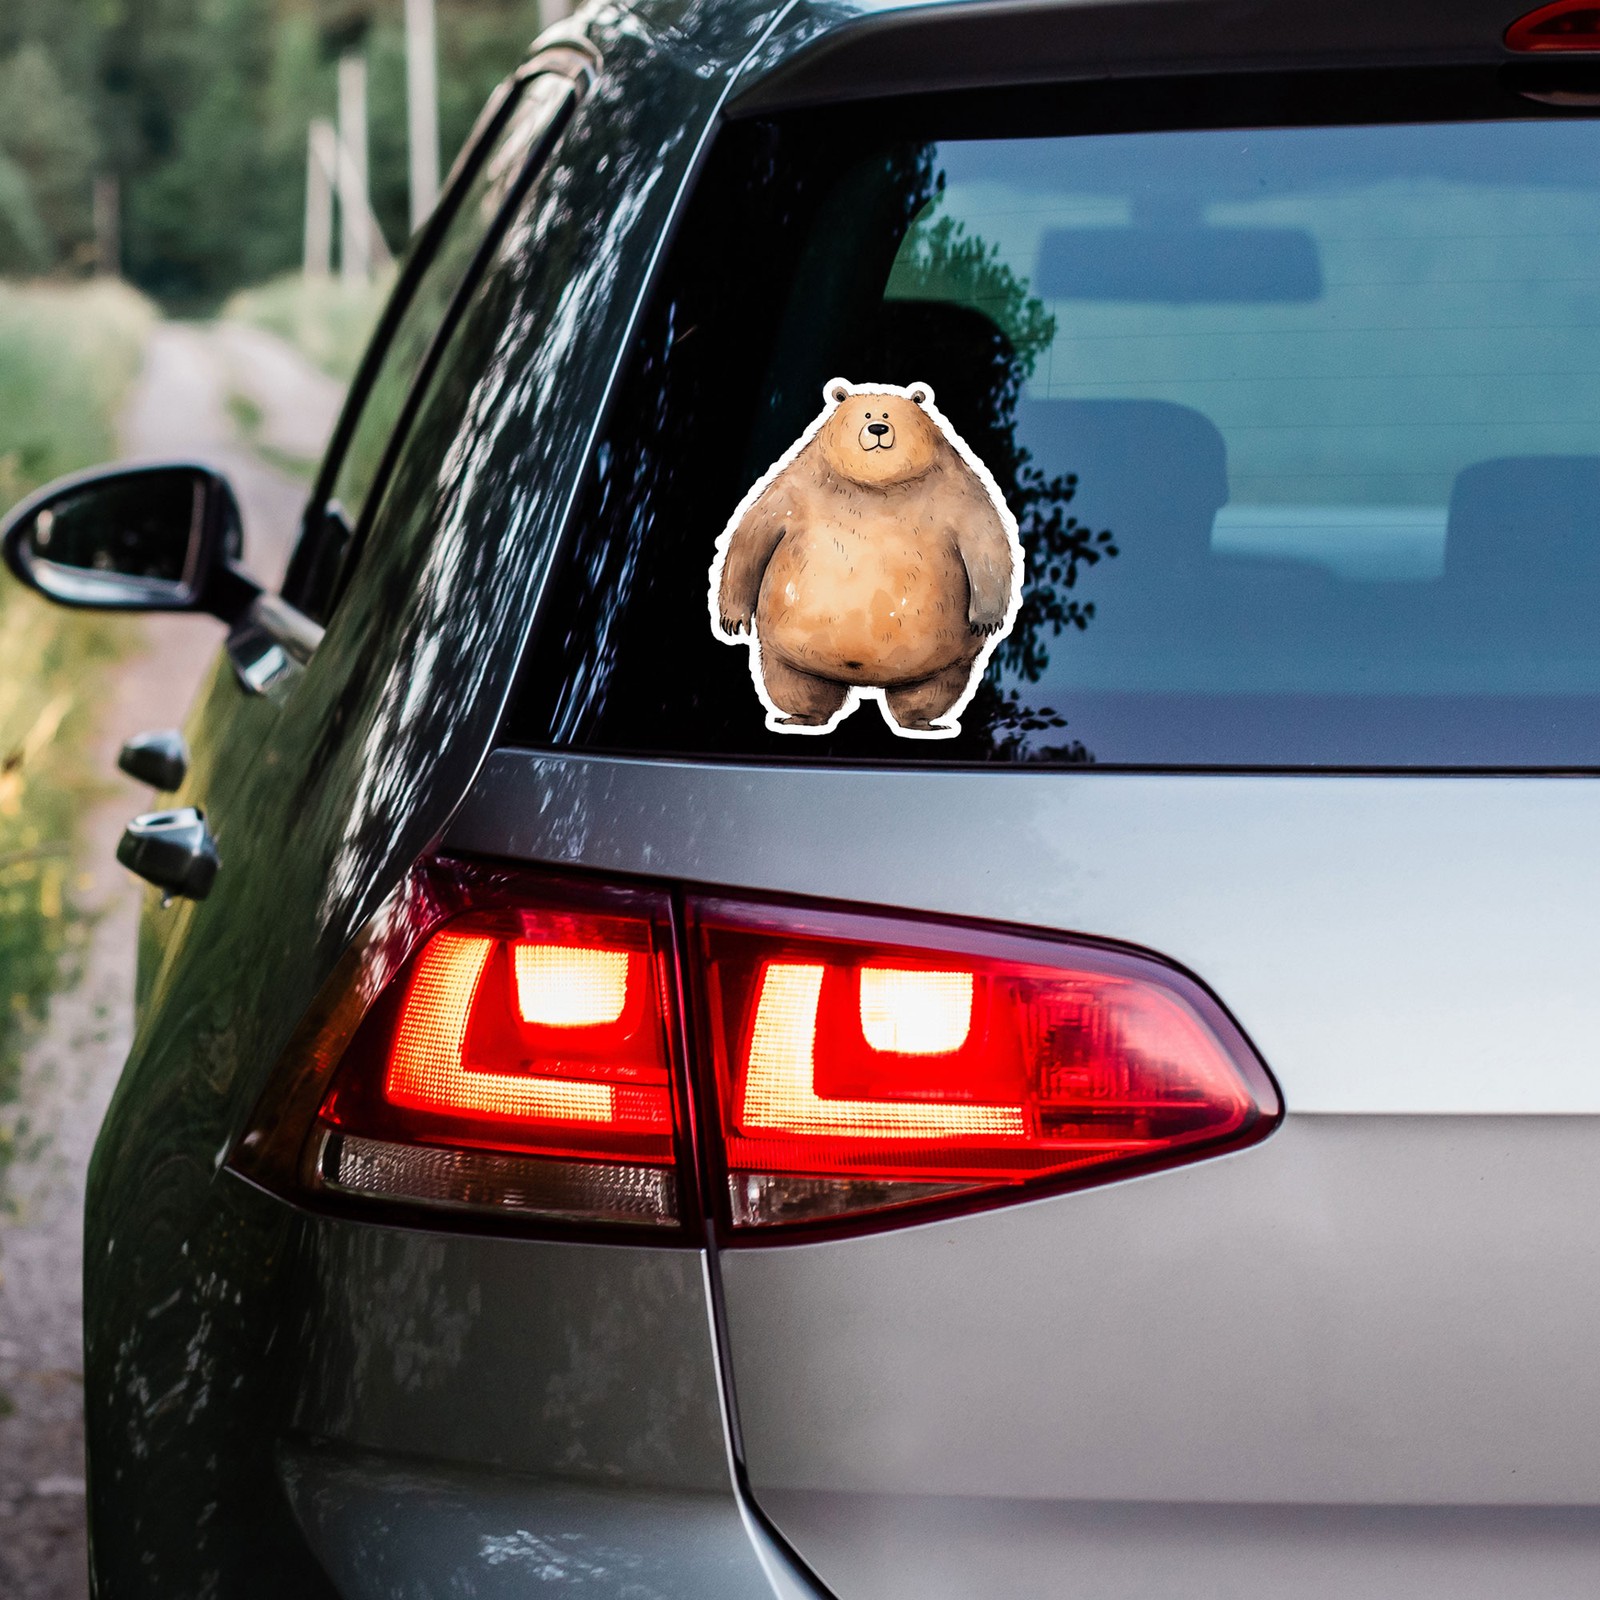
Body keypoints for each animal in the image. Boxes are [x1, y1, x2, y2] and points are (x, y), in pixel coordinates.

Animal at [709, 378, 1021, 739]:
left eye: (887, 413)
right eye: (868, 413)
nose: (878, 429)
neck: (876, 484)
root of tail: (865, 682)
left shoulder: (955, 489)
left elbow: (985, 536)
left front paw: (986, 619)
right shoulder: (799, 486)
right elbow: (755, 531)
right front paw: (732, 621)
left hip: (940, 660)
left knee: (930, 689)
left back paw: (924, 723)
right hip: (789, 653)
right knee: (796, 684)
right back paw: (799, 718)